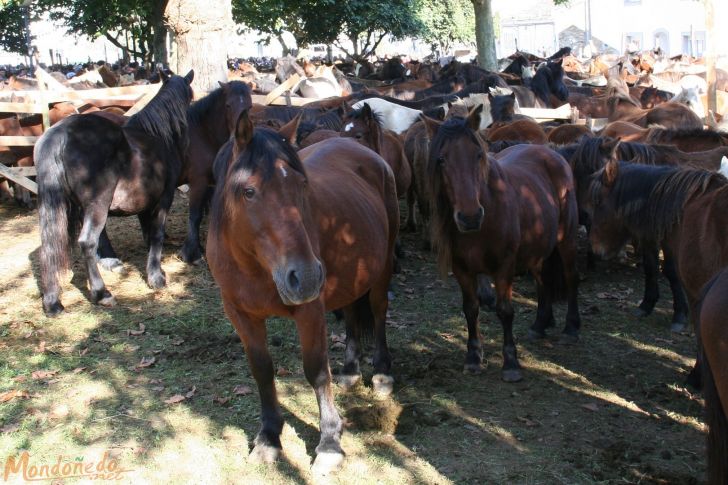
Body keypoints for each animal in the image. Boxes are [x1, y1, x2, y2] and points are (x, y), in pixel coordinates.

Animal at [35, 70, 195, 316]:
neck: (159, 135)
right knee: (88, 242)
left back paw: (53, 302)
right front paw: (156, 277)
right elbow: (156, 233)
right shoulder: (164, 197)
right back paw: (102, 293)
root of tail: (61, 132)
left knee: (51, 248)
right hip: (98, 204)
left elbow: (148, 231)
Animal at [177, 83, 253, 264]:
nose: (237, 135)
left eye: (250, 106)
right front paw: (192, 253)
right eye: (228, 105)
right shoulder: (198, 182)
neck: (202, 133)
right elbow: (195, 215)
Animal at [205, 112, 398, 472]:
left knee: (378, 310)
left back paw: (381, 372)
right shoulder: (240, 314)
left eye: (302, 185)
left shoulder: (309, 311)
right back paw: (350, 370)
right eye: (248, 191)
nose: (305, 276)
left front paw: (330, 443)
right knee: (351, 312)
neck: (255, 266)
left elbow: (316, 372)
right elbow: (262, 370)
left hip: (382, 267)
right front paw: (269, 437)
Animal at [420, 106, 580, 382]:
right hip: (536, 248)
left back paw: (571, 328)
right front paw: (473, 357)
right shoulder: (462, 269)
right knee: (542, 280)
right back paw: (540, 324)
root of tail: (551, 152)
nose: (470, 216)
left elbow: (505, 311)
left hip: (566, 239)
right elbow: (470, 308)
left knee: (571, 277)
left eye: (478, 155)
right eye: (441, 160)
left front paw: (511, 363)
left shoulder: (504, 267)